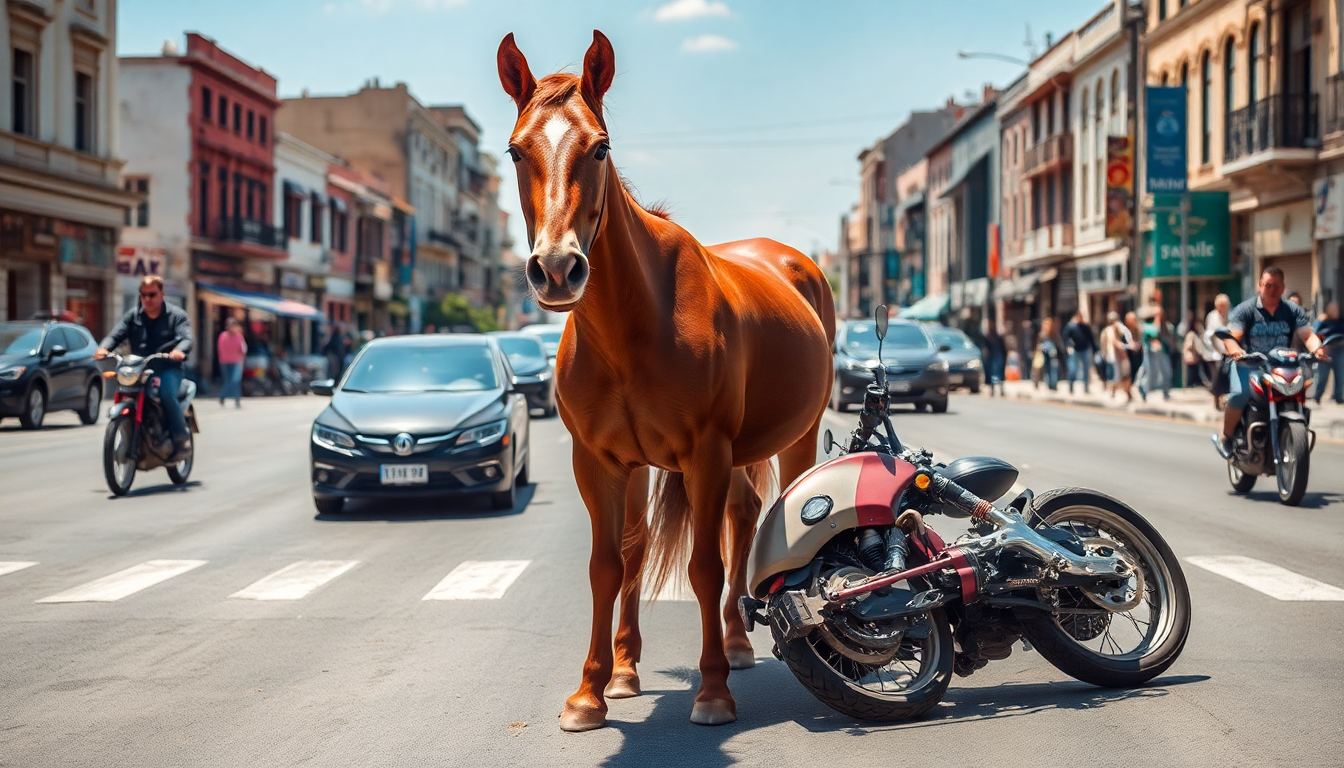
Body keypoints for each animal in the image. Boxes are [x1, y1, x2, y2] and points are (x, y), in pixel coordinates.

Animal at [498, 30, 836, 731]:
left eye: (599, 146)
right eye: (516, 149)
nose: (557, 269)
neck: (632, 327)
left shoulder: (706, 452)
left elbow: (704, 567)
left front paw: (711, 691)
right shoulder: (601, 460)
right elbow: (611, 564)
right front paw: (595, 688)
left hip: (795, 438)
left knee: (763, 518)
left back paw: (735, 648)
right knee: (728, 517)